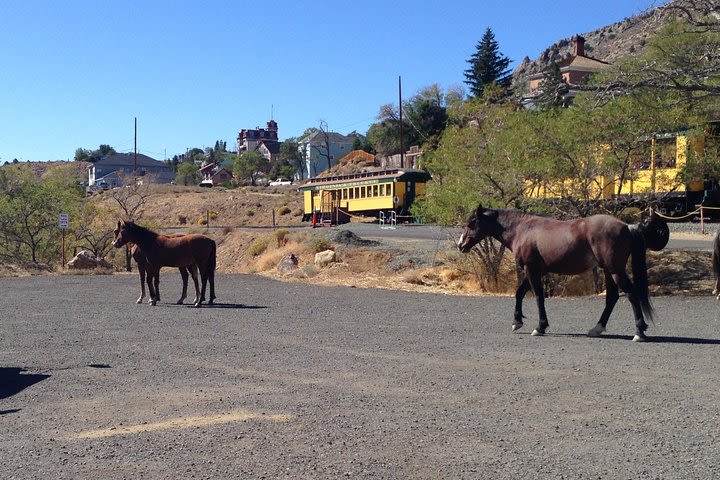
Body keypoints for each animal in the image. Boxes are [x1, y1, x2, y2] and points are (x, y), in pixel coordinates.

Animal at [458, 204, 656, 344]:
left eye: (472, 223)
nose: (461, 245)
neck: (523, 229)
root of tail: (626, 226)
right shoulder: (534, 270)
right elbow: (519, 293)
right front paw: (517, 322)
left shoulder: (531, 269)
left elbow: (538, 297)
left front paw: (540, 327)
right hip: (608, 271)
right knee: (612, 297)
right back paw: (597, 329)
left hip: (615, 271)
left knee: (631, 294)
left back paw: (639, 332)